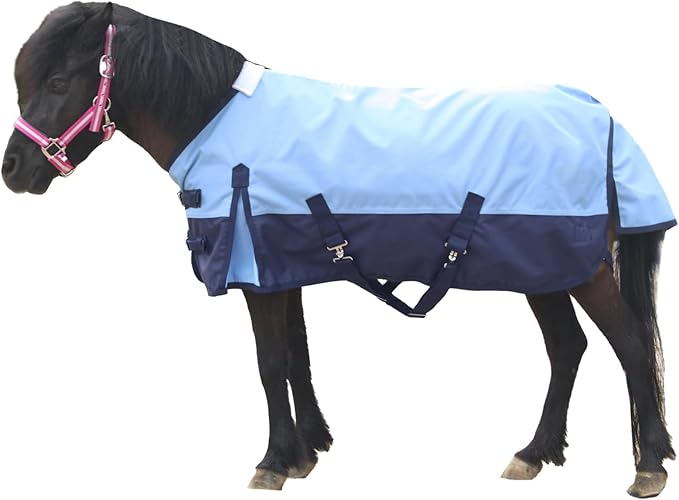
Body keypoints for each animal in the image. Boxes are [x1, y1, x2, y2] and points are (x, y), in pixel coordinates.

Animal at [1, 2, 675, 497]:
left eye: (58, 81)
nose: (14, 172)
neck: (218, 120)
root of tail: (600, 115)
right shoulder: (281, 268)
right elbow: (296, 358)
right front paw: (307, 452)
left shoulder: (256, 271)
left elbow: (270, 362)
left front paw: (272, 462)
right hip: (545, 270)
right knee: (569, 348)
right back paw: (533, 454)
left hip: (579, 268)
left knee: (630, 344)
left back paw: (647, 467)